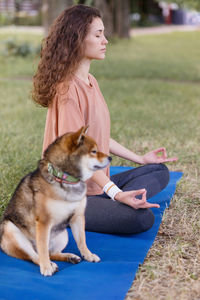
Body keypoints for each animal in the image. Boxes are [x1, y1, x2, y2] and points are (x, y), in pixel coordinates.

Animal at [0, 125, 111, 276]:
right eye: (94, 151)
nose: (110, 157)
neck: (65, 179)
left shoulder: (78, 217)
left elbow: (82, 241)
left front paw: (88, 255)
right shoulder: (43, 221)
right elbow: (42, 249)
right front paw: (46, 267)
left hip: (63, 235)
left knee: (50, 253)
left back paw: (70, 257)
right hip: (12, 232)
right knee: (35, 255)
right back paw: (49, 264)